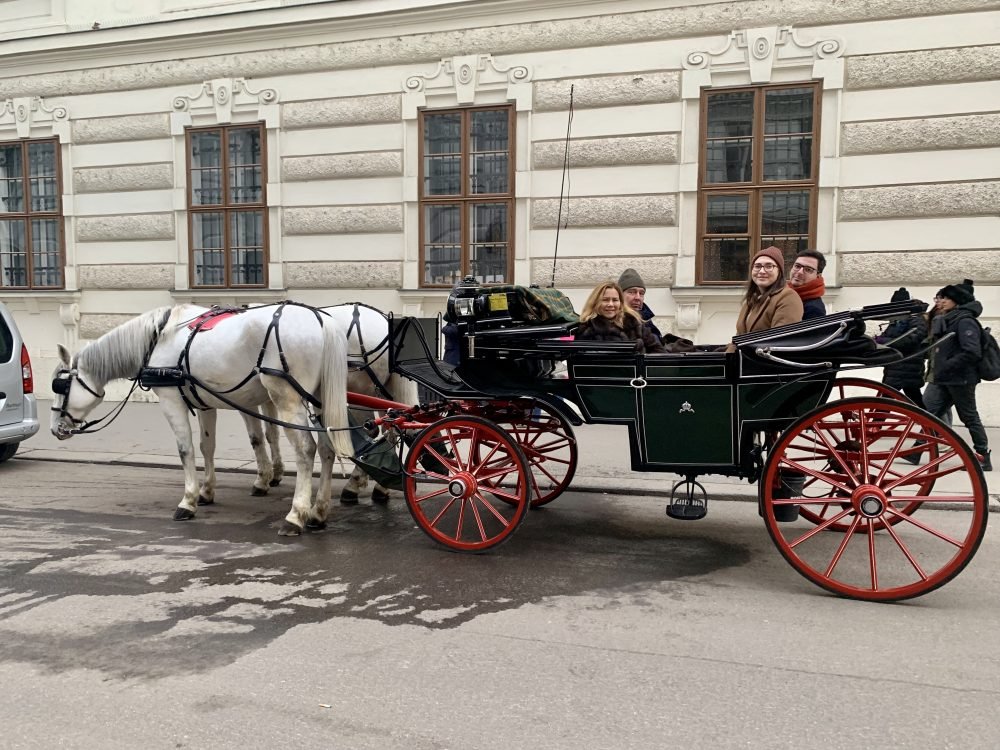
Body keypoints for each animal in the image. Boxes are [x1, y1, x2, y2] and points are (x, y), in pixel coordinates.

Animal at [52, 302, 356, 536]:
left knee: (306, 450)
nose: (56, 429)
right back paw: (318, 512)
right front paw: (206, 491)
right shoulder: (205, 403)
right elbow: (206, 446)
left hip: (288, 400)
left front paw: (188, 501)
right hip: (319, 399)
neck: (159, 338)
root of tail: (322, 321)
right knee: (327, 449)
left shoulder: (171, 400)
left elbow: (185, 450)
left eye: (61, 386)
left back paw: (296, 515)